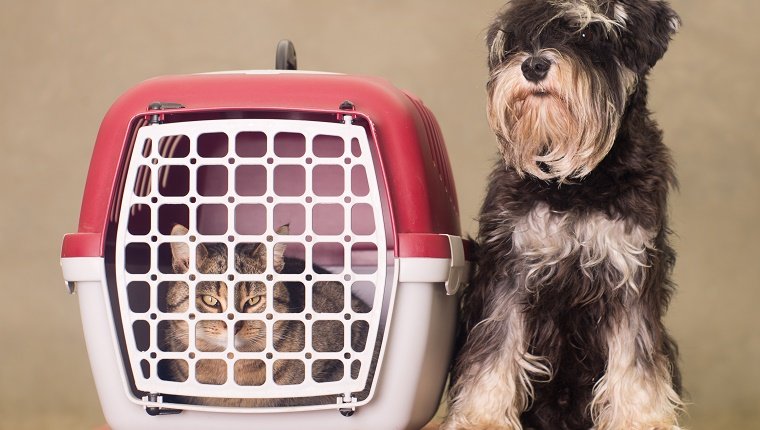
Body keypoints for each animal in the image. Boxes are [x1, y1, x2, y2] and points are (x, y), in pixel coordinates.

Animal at [442, 0, 684, 430]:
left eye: (587, 32)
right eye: (515, 39)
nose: (533, 65)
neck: (574, 182)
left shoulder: (630, 270)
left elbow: (636, 356)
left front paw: (645, 418)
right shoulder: (512, 268)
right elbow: (495, 346)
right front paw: (481, 418)